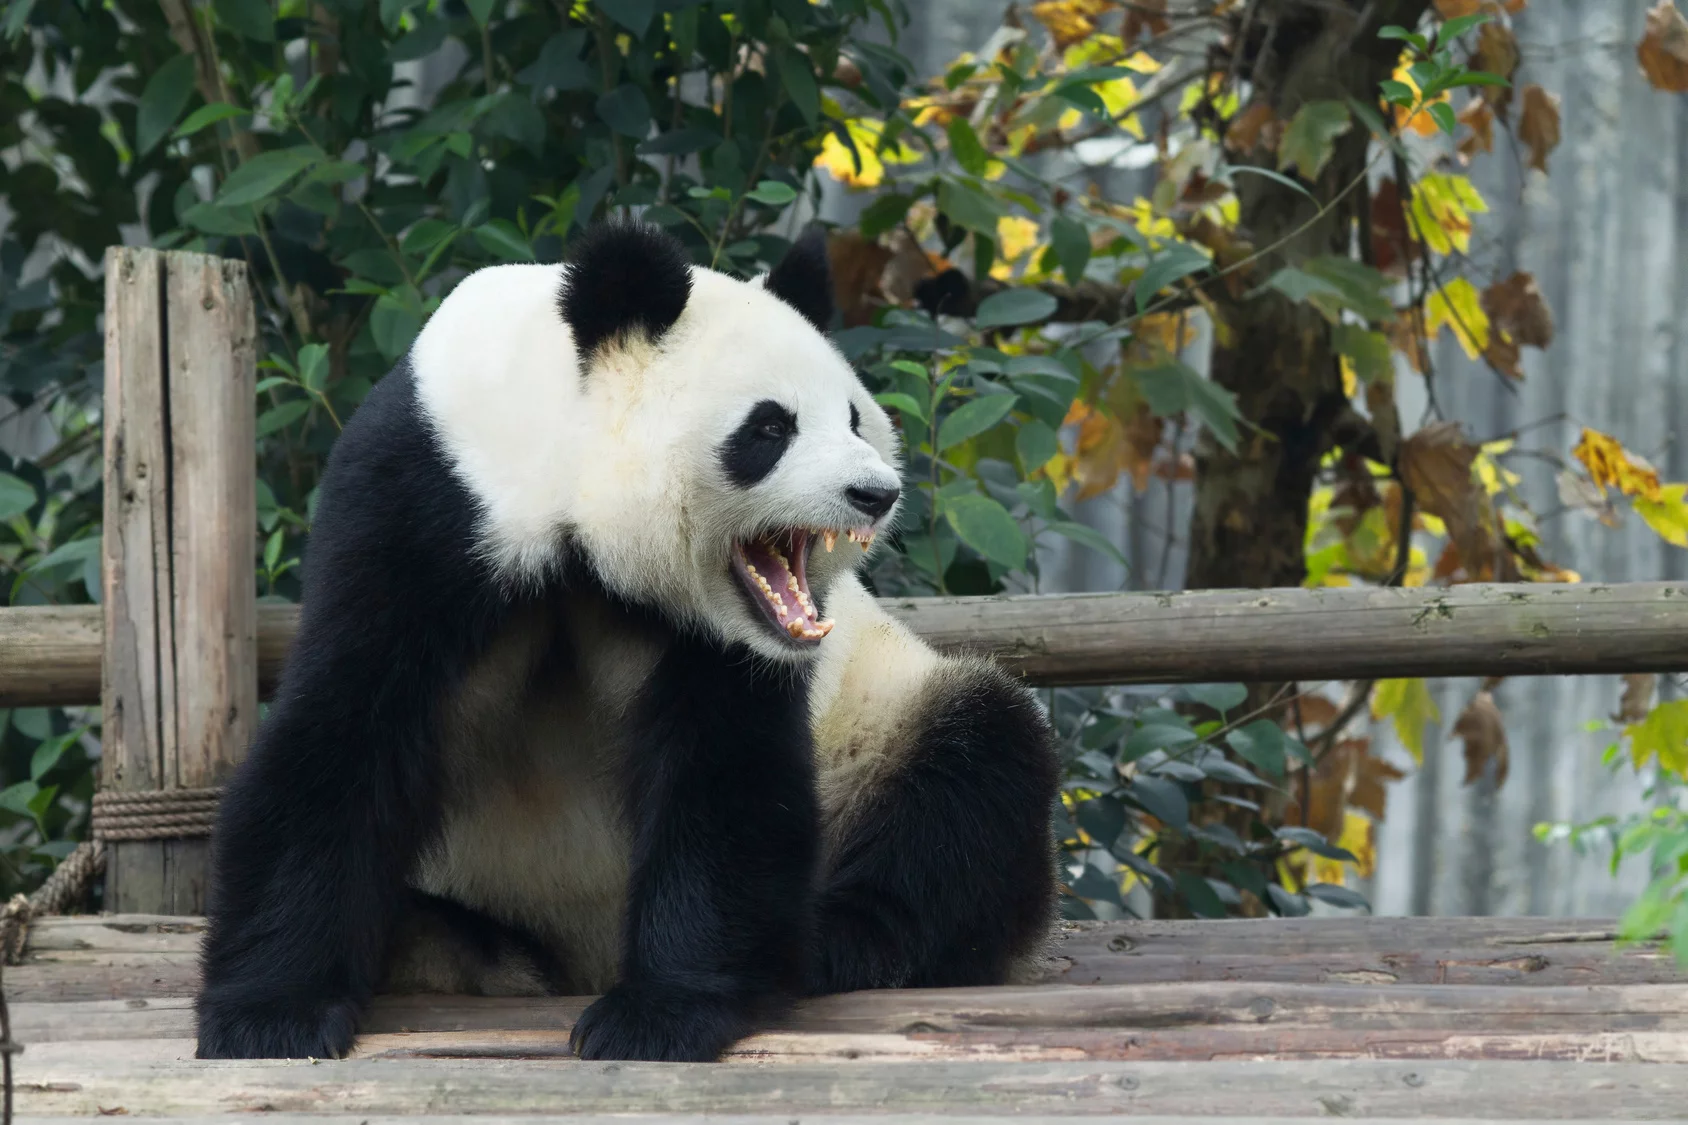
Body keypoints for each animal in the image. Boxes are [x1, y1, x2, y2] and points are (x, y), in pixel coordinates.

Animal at [194, 221, 1060, 1063]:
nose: (875, 493)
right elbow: (350, 723)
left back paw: (828, 939)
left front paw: (660, 1014)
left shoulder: (723, 637)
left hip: (881, 717)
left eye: (852, 416)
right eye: (770, 427)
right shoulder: (426, 499)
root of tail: (578, 957)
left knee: (973, 772)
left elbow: (722, 771)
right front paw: (271, 1014)